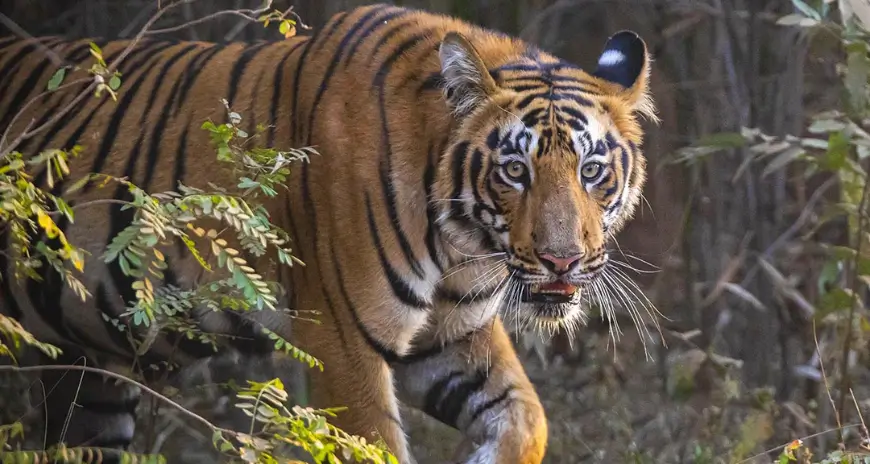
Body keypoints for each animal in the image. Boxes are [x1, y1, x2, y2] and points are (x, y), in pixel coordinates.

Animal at [0, 3, 655, 463]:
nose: (561, 261)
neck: (462, 246)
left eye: (591, 171)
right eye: (515, 171)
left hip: (88, 373)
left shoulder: (452, 334)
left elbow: (528, 420)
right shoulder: (344, 340)